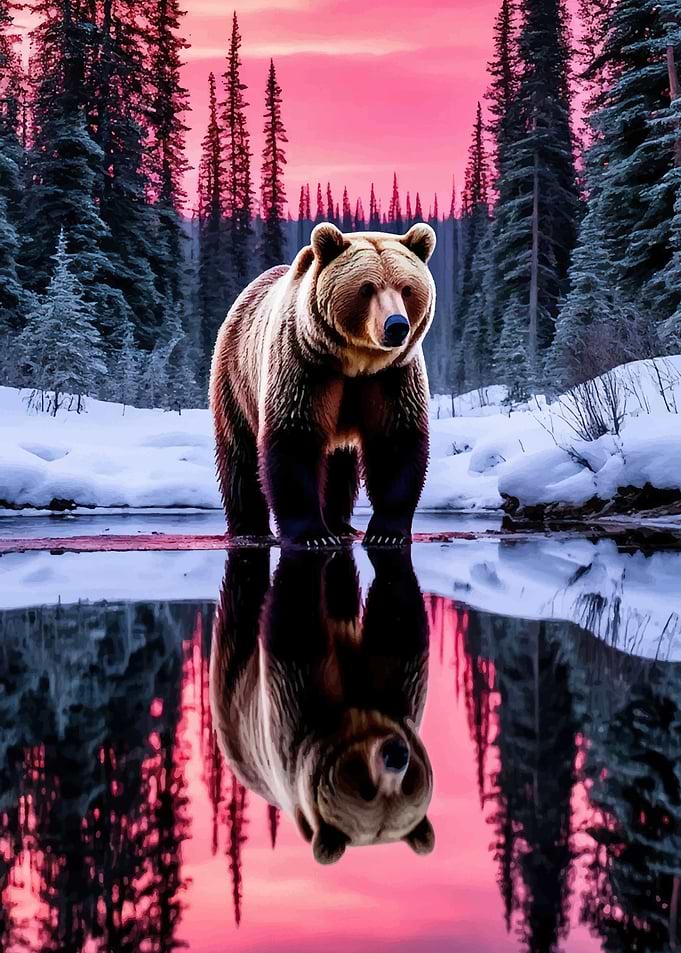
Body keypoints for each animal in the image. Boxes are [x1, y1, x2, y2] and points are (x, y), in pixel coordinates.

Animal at [209, 222, 437, 546]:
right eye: (366, 288)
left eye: (407, 289)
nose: (396, 326)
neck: (357, 361)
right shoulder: (305, 366)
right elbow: (294, 438)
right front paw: (312, 534)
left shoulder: (392, 376)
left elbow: (396, 441)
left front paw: (386, 532)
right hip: (235, 377)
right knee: (239, 453)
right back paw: (250, 528)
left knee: (340, 465)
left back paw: (339, 523)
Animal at [209, 545, 434, 865]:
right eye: (366, 790)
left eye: (406, 787)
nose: (396, 754)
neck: (356, 713)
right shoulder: (294, 712)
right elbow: (296, 624)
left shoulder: (402, 694)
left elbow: (397, 619)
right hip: (234, 693)